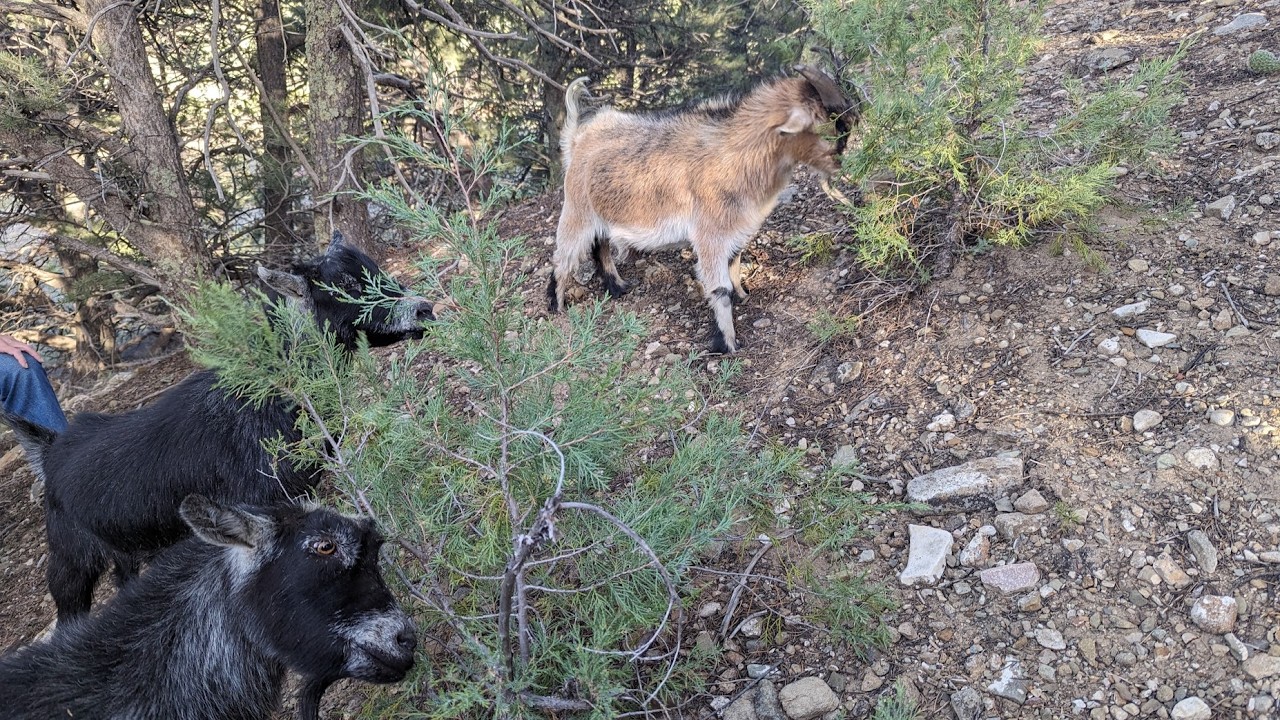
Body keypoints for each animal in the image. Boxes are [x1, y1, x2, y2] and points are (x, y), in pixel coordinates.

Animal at [3, 232, 434, 622]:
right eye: (344, 287)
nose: (424, 309)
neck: (277, 389)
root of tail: (52, 450)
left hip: (126, 552)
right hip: (70, 560)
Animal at [546, 65, 857, 353]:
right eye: (826, 125)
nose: (842, 163)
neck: (734, 153)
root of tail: (578, 137)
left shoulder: (738, 229)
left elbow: (735, 266)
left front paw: (743, 295)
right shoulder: (710, 234)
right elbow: (720, 288)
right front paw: (727, 344)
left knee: (600, 244)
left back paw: (617, 287)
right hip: (577, 209)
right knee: (564, 257)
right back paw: (557, 305)